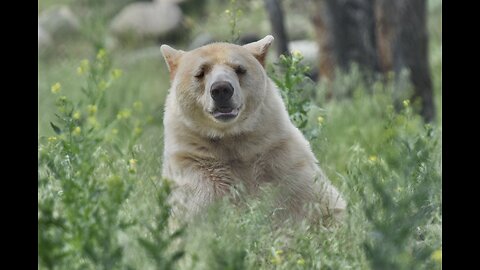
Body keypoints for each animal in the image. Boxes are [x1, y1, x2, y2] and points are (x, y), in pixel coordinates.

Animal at [160, 34, 344, 223]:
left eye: (240, 69)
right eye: (200, 72)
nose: (221, 89)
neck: (231, 139)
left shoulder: (281, 157)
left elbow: (320, 201)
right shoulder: (195, 166)